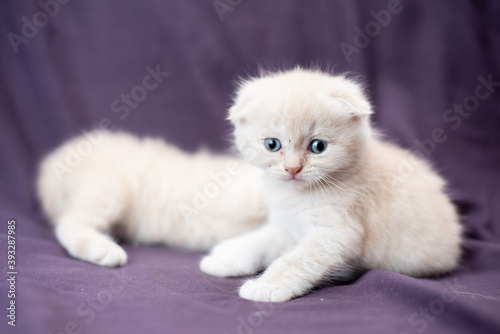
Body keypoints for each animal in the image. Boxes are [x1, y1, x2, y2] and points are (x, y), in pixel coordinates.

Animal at [198, 68, 460, 302]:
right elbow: (259, 239)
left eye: (318, 147)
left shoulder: (335, 234)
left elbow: (295, 260)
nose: (292, 168)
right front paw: (224, 259)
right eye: (272, 144)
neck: (294, 196)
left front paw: (267, 286)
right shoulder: (285, 224)